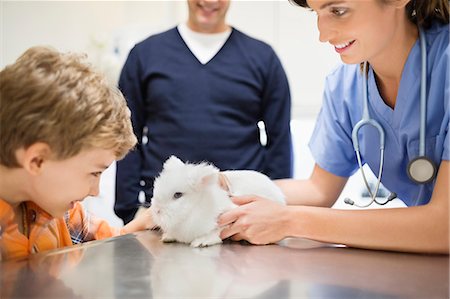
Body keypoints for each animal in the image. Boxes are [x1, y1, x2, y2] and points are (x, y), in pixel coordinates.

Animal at [151, 156, 284, 247]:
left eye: (177, 195)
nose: (156, 210)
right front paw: (167, 237)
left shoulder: (228, 216)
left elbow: (216, 232)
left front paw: (201, 242)